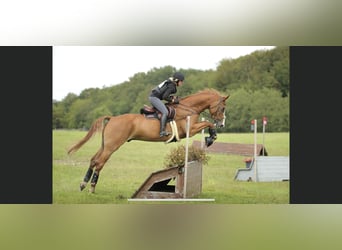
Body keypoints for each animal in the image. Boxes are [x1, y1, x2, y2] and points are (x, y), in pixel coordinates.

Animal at [67, 88, 230, 193]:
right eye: (222, 108)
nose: (222, 124)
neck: (189, 108)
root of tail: (112, 118)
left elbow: (208, 124)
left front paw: (210, 137)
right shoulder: (189, 130)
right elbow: (208, 124)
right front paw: (210, 138)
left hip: (105, 145)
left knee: (93, 160)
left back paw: (83, 184)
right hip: (112, 146)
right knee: (100, 163)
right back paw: (92, 187)